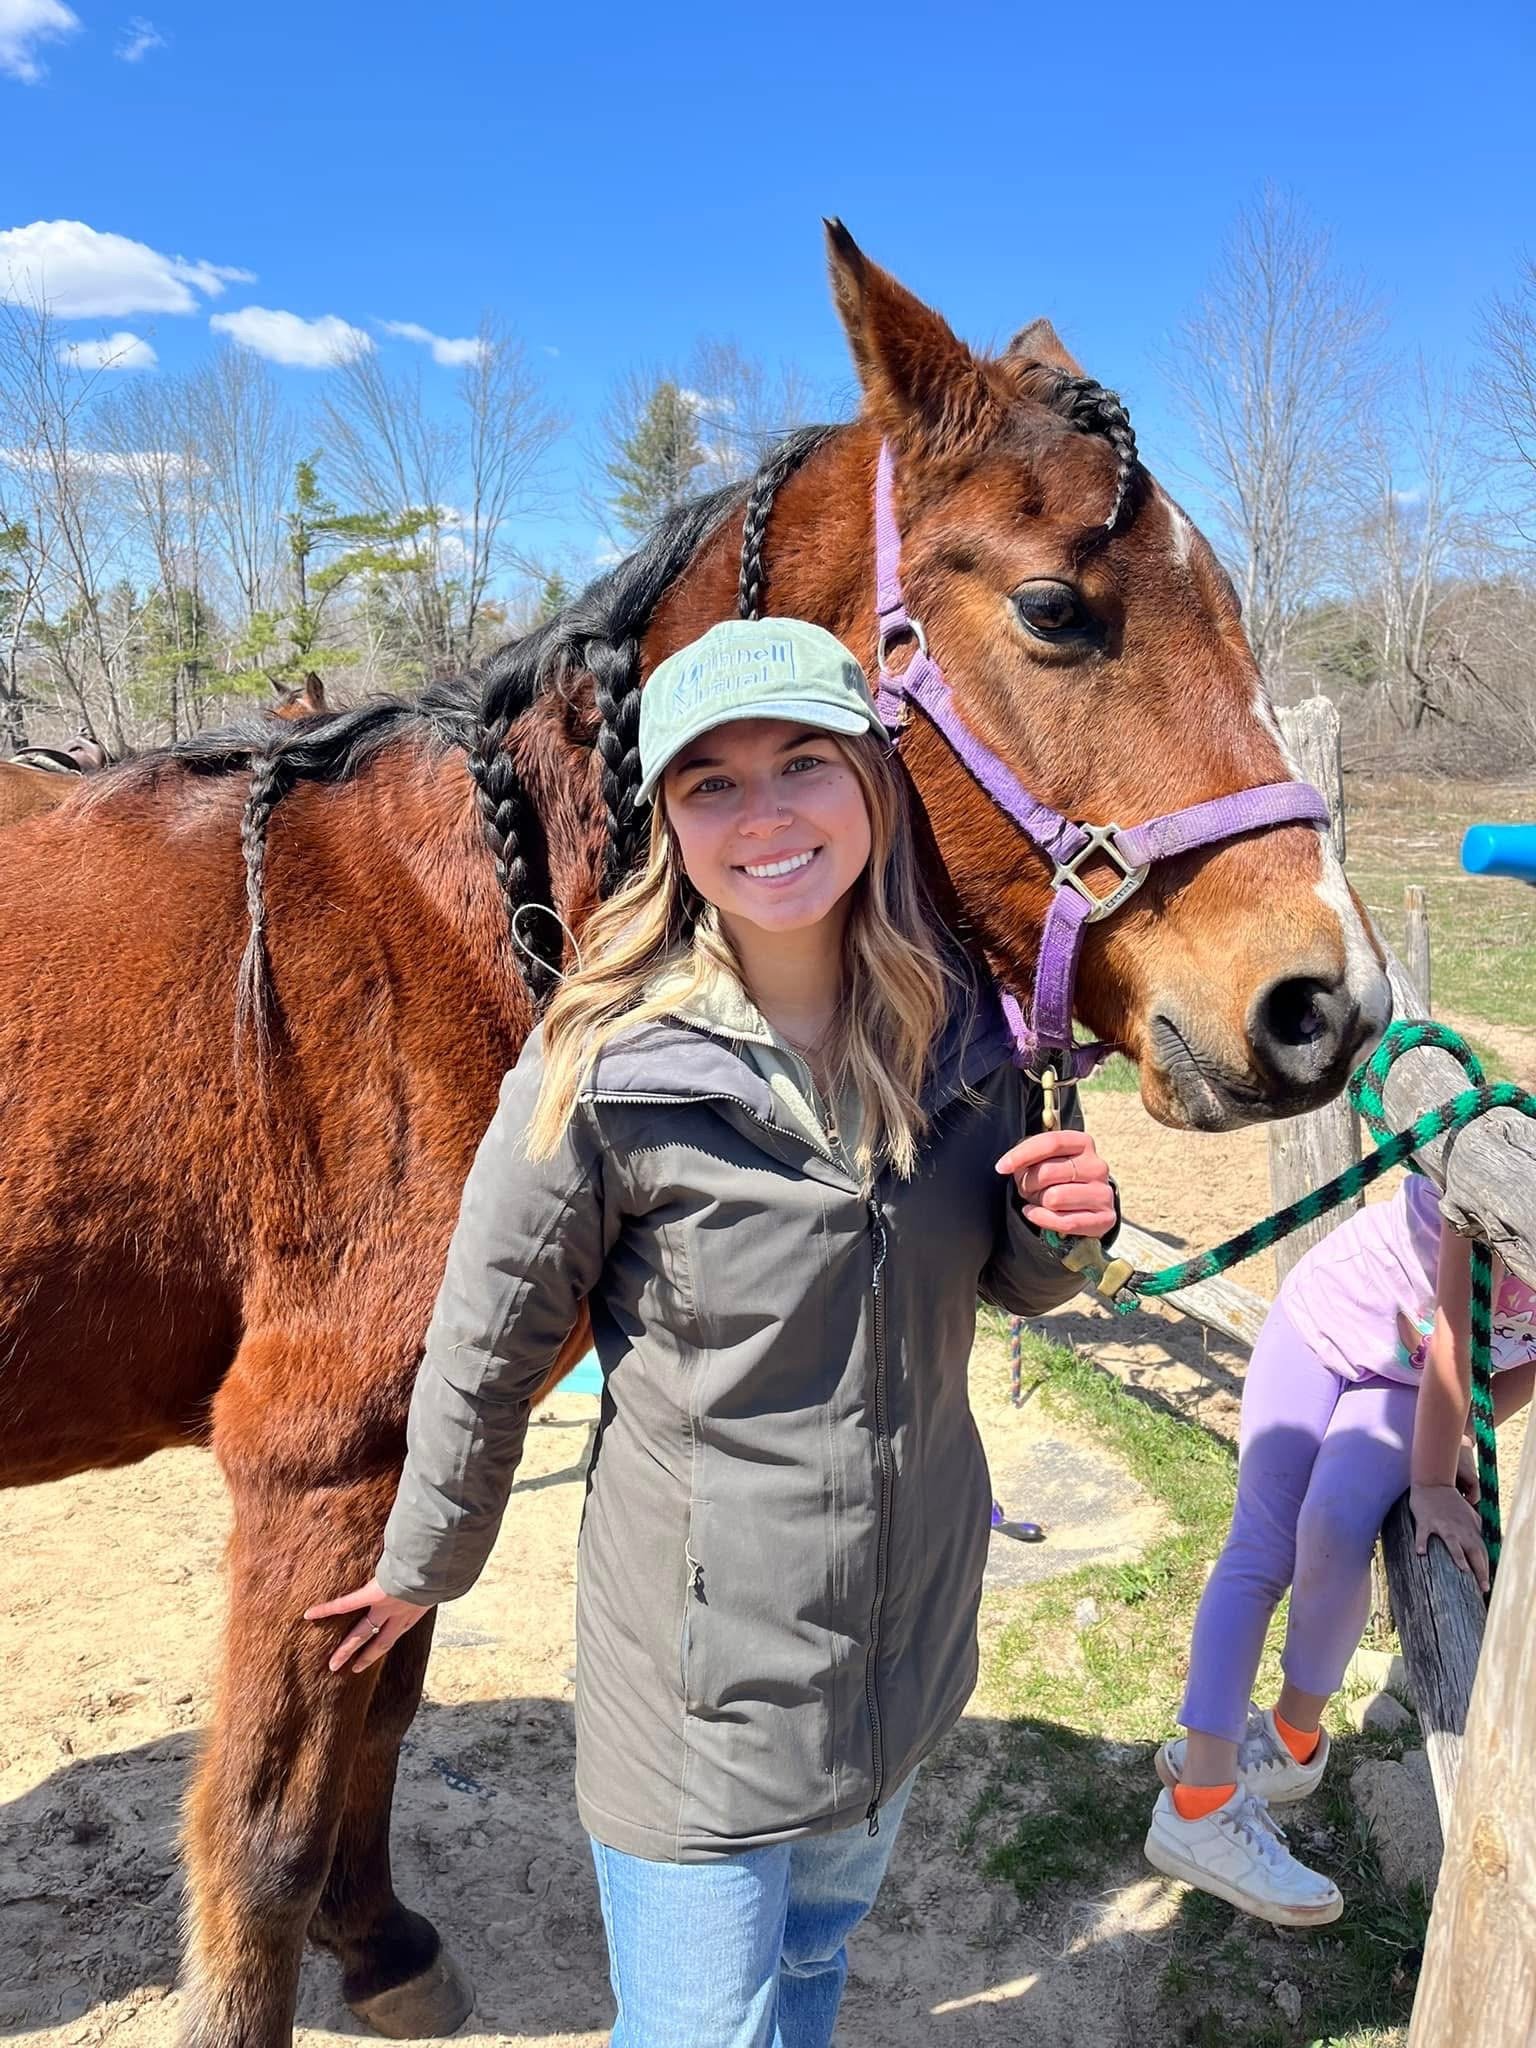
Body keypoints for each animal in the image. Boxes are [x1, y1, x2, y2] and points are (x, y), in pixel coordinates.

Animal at [0, 222, 1389, 2048]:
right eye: (1055, 609)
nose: (1322, 1004)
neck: (442, 933)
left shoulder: (424, 1438)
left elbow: (388, 1695)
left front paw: (385, 1945)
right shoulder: (317, 1455)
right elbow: (263, 1825)